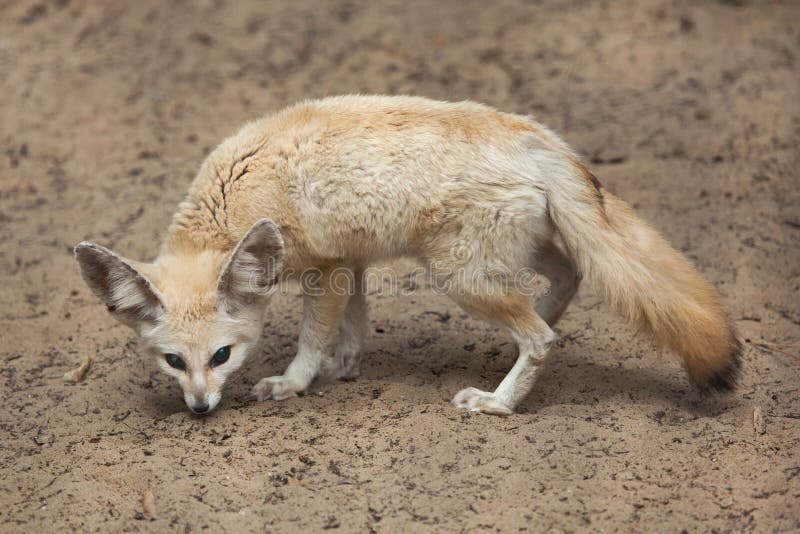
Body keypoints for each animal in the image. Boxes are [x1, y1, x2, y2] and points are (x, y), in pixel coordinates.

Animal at [74, 95, 741, 415]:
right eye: (171, 363)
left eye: (221, 356)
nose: (199, 409)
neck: (234, 196)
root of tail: (537, 136)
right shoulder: (349, 262)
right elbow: (353, 327)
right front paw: (343, 368)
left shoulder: (323, 271)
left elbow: (313, 337)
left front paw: (297, 382)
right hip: (508, 257)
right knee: (569, 278)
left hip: (460, 276)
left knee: (543, 338)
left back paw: (500, 403)